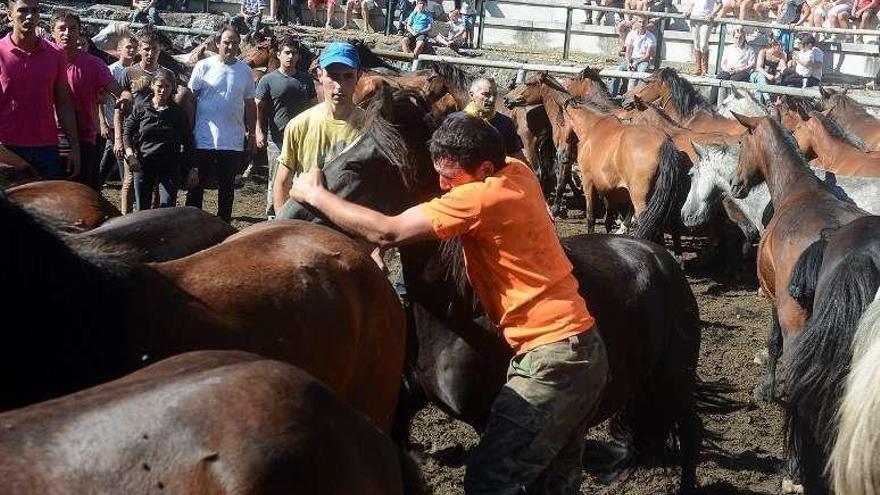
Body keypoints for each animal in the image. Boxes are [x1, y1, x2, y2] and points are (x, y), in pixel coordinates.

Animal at [724, 113, 868, 404]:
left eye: (742, 142)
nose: (735, 183)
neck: (799, 190)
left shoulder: (772, 297)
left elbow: (773, 342)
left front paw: (765, 390)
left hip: (794, 317)